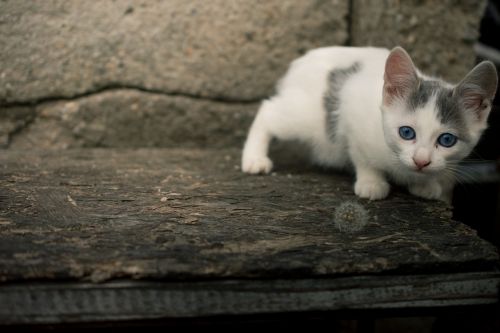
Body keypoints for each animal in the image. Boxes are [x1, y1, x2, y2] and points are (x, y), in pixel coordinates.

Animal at [241, 46, 496, 202]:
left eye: (447, 140)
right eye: (406, 132)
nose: (421, 161)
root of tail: (300, 62)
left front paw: (426, 184)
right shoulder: (351, 113)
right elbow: (362, 156)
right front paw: (371, 182)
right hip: (306, 116)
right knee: (268, 110)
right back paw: (254, 159)